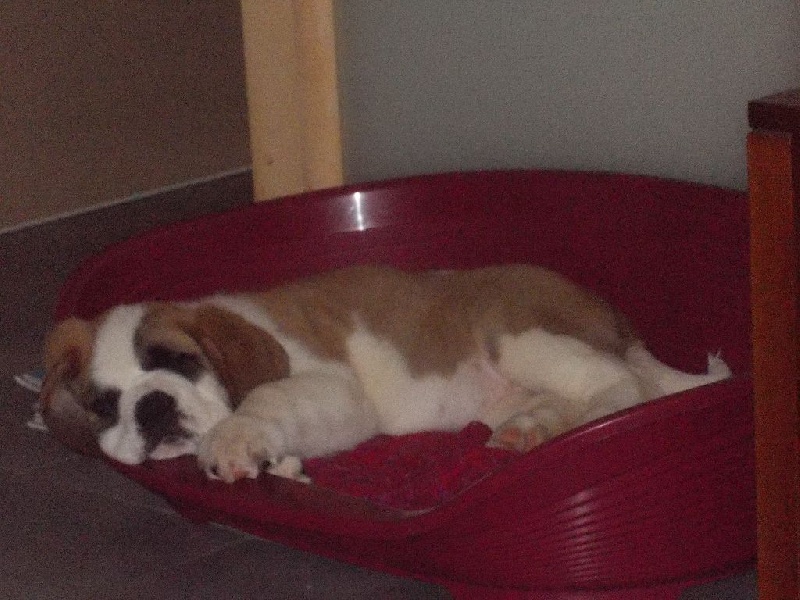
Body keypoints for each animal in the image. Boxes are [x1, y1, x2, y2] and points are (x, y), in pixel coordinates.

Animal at [41, 264, 730, 483]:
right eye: (104, 403)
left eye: (181, 363)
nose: (152, 407)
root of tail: (611, 315)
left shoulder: (332, 389)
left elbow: (265, 399)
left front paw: (233, 438)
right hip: (506, 390)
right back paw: (533, 428)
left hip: (523, 338)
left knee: (625, 387)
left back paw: (593, 417)